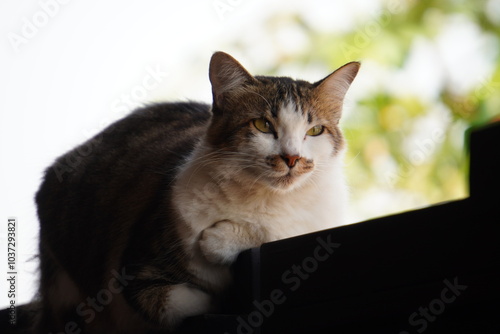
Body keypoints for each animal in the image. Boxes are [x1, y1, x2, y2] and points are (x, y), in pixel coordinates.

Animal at [34, 51, 360, 332]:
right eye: (263, 125)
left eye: (315, 131)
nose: (291, 158)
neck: (267, 200)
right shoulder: (137, 273)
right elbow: (185, 302)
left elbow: (278, 230)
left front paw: (221, 241)